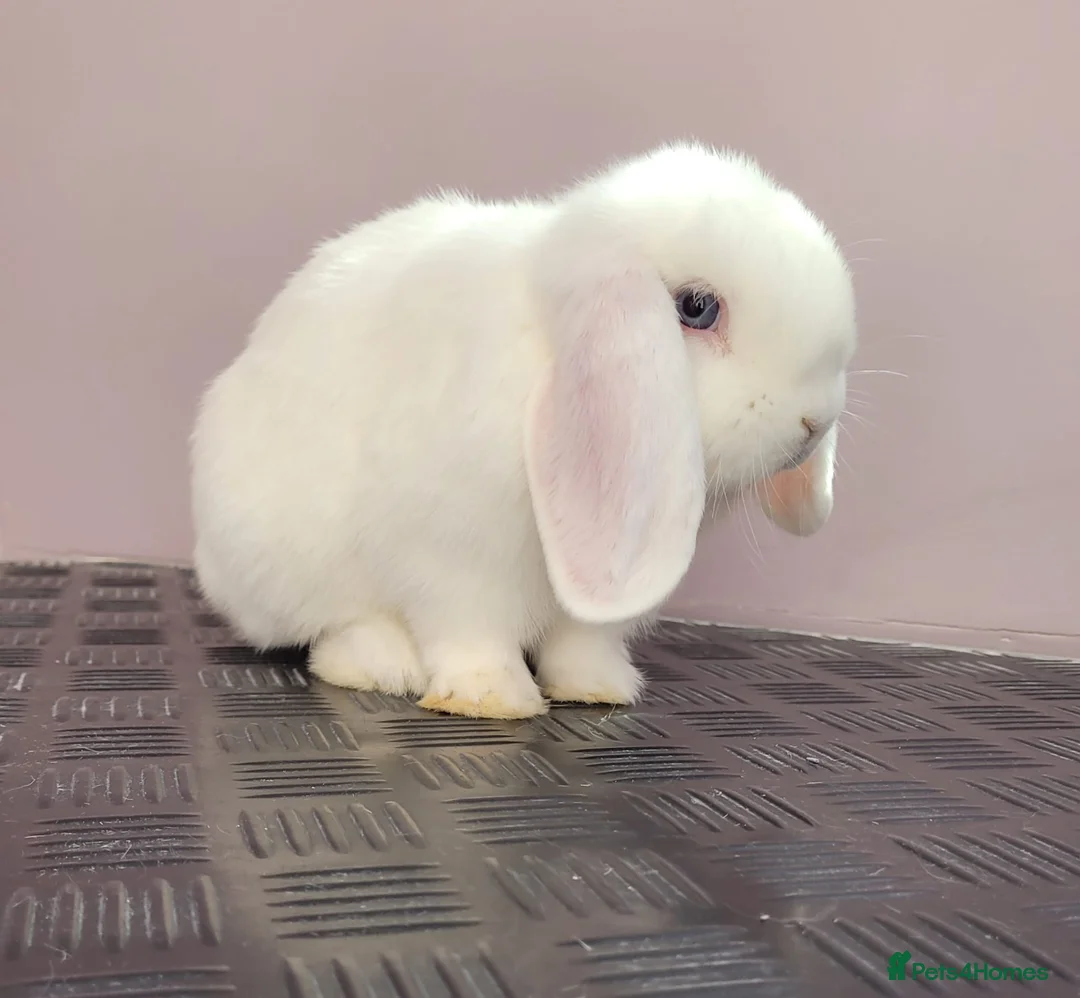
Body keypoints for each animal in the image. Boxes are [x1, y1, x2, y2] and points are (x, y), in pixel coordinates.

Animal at [189, 141, 857, 719]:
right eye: (696, 308)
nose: (814, 421)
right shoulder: (452, 556)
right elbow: (469, 631)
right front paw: (490, 699)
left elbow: (584, 638)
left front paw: (598, 688)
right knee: (335, 625)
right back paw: (384, 666)